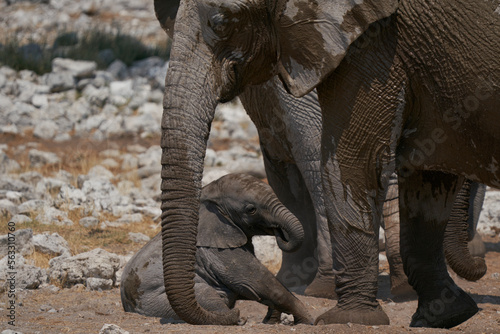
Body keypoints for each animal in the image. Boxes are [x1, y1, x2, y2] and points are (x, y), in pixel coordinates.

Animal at [120, 174, 312, 324]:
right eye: (251, 209)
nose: (279, 232)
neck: (207, 195)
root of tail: (127, 306)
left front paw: (271, 320)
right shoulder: (217, 250)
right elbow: (257, 284)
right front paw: (309, 321)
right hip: (157, 300)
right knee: (207, 295)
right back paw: (239, 319)